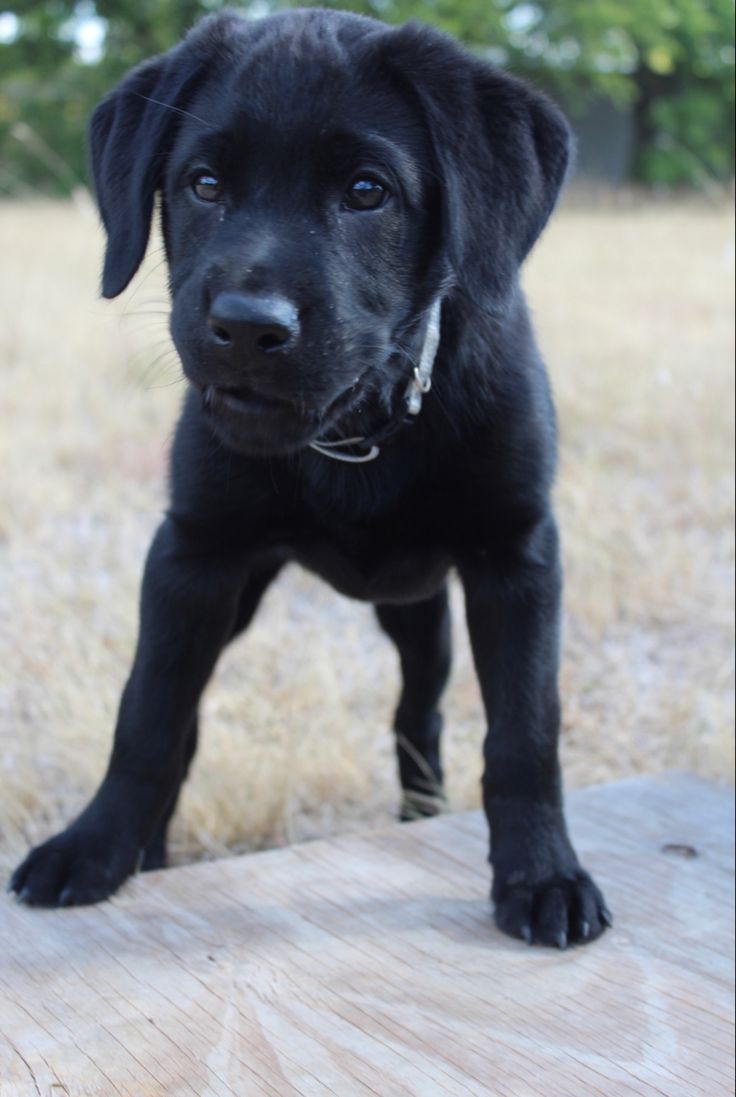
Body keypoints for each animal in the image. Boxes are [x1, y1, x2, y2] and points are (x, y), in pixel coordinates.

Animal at [10, 8, 609, 947]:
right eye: (204, 184)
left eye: (367, 191)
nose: (247, 327)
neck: (354, 435)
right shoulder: (192, 557)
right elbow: (148, 717)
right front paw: (95, 848)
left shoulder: (516, 557)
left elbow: (525, 731)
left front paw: (544, 874)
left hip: (421, 613)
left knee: (419, 714)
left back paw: (422, 812)